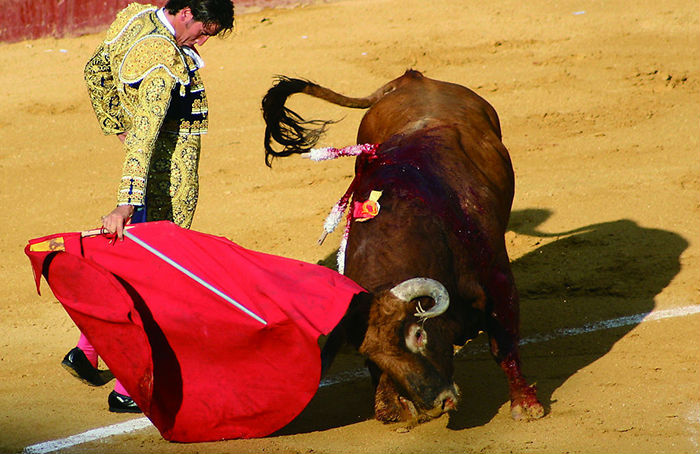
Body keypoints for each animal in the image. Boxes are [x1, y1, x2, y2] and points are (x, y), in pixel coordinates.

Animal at [262, 69, 548, 424]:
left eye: (418, 335)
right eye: (372, 356)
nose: (435, 404)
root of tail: (413, 78)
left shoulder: (498, 278)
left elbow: (504, 343)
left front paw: (526, 404)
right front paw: (390, 407)